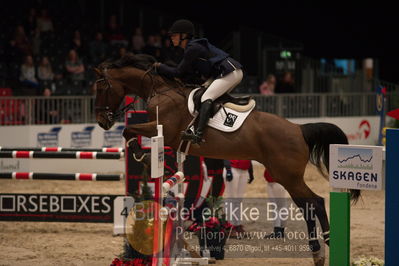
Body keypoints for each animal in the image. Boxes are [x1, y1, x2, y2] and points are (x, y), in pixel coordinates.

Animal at [94, 53, 362, 264]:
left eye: (101, 88)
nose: (102, 121)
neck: (160, 89)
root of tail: (299, 129)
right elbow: (131, 132)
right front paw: (144, 155)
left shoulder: (164, 131)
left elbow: (129, 130)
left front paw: (141, 154)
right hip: (286, 175)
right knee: (309, 205)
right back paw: (319, 250)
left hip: (288, 176)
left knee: (314, 202)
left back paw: (323, 245)